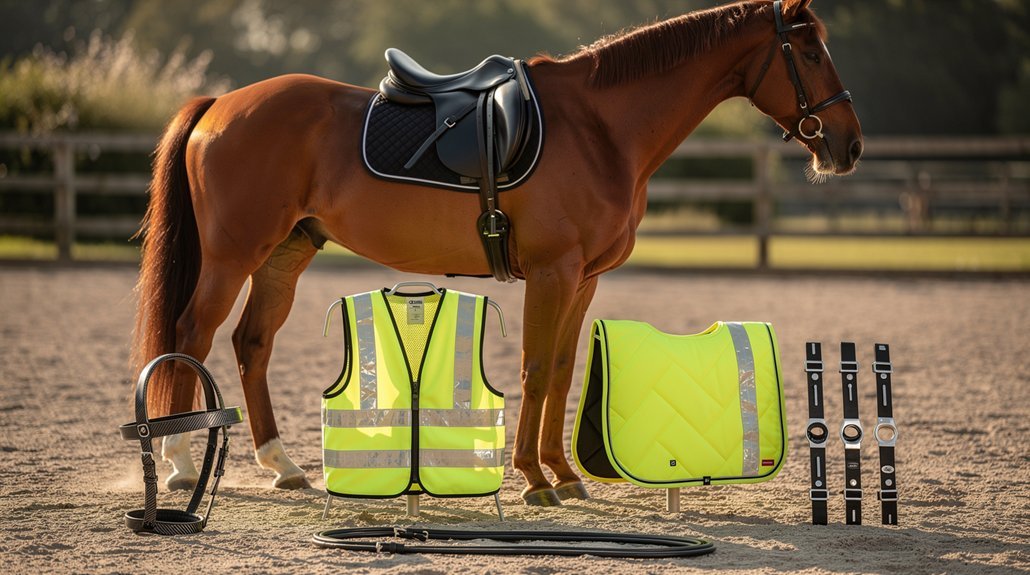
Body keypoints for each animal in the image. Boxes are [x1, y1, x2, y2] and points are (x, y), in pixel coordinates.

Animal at [133, 0, 861, 505]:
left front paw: (564, 474)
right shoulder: (553, 271)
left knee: (252, 343)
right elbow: (536, 368)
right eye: (810, 52)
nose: (848, 146)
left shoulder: (585, 278)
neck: (600, 128)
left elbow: (563, 370)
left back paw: (281, 465)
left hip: (284, 253)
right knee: (190, 335)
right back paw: (179, 465)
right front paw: (534, 479)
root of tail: (221, 104)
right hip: (232, 256)